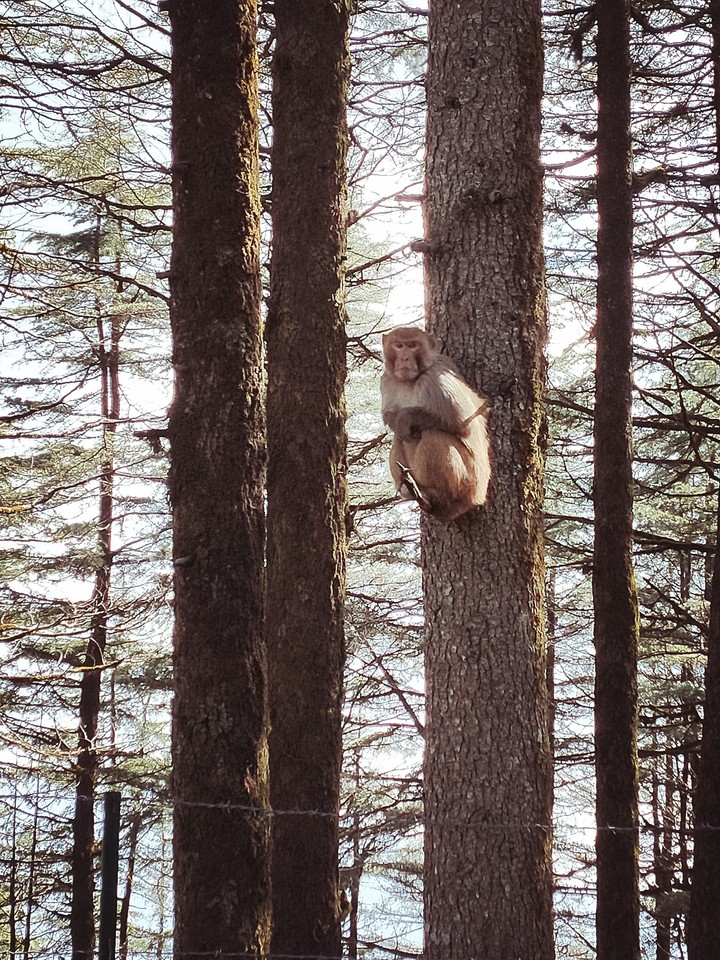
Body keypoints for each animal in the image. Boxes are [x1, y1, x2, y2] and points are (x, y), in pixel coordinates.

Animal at [380, 326, 491, 522]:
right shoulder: (388, 380)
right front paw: (399, 421)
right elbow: (390, 417)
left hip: (469, 482)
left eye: (413, 345)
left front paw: (405, 418)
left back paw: (436, 494)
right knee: (400, 438)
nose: (405, 358)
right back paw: (411, 491)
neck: (413, 380)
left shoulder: (437, 378)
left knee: (433, 435)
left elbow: (460, 422)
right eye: (399, 346)